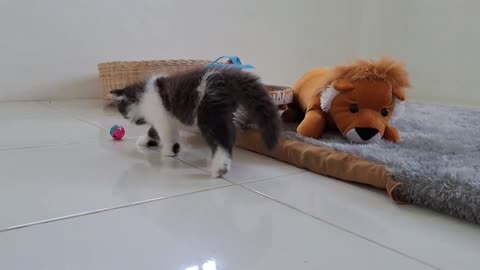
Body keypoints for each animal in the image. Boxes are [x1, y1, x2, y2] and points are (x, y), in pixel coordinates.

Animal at [110, 67, 280, 177]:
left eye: (124, 113)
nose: (130, 122)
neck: (143, 96)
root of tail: (230, 76)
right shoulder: (168, 119)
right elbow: (156, 132)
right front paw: (149, 141)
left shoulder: (162, 117)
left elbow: (164, 134)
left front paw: (169, 151)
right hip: (228, 115)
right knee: (229, 136)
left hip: (209, 112)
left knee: (222, 140)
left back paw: (220, 167)